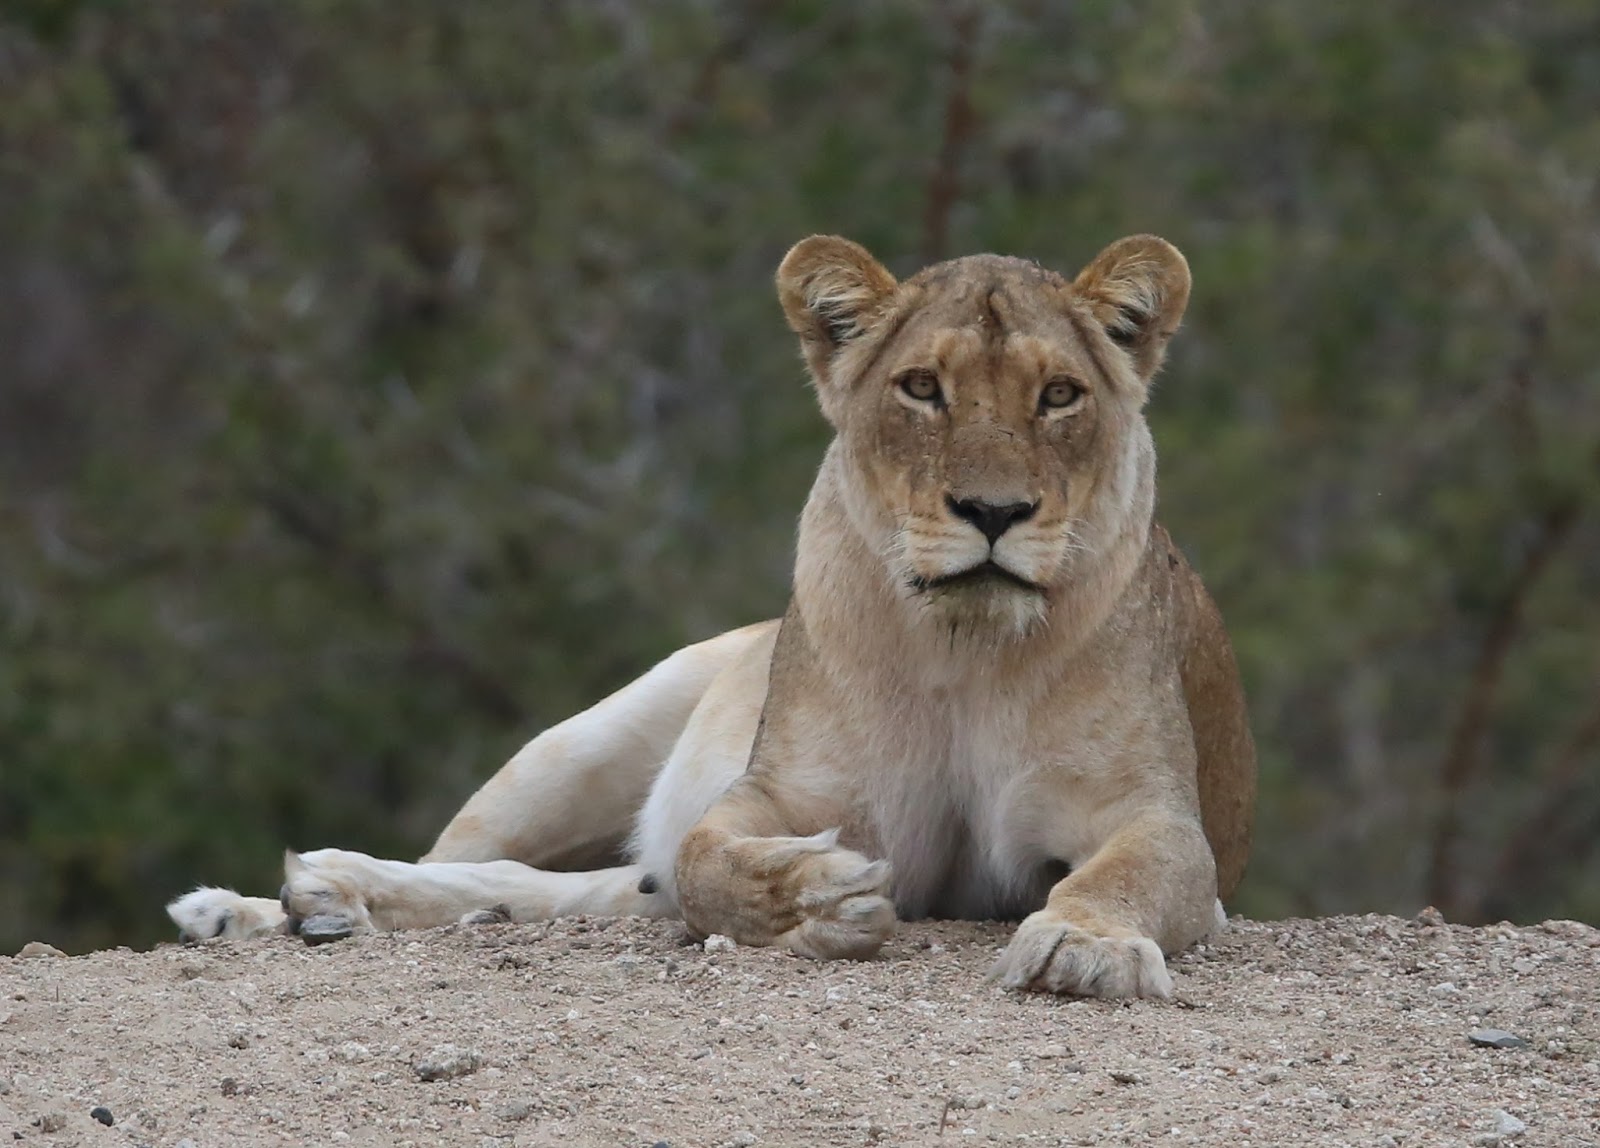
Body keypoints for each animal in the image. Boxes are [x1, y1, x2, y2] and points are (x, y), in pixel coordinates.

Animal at [168, 233, 1256, 999]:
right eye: (922, 387)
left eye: (1060, 395)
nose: (992, 513)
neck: (965, 649)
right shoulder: (773, 792)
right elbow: (704, 857)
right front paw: (818, 897)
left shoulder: (1157, 820)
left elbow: (1122, 874)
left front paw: (1084, 946)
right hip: (581, 742)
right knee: (497, 860)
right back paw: (281, 901)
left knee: (576, 892)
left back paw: (332, 902)